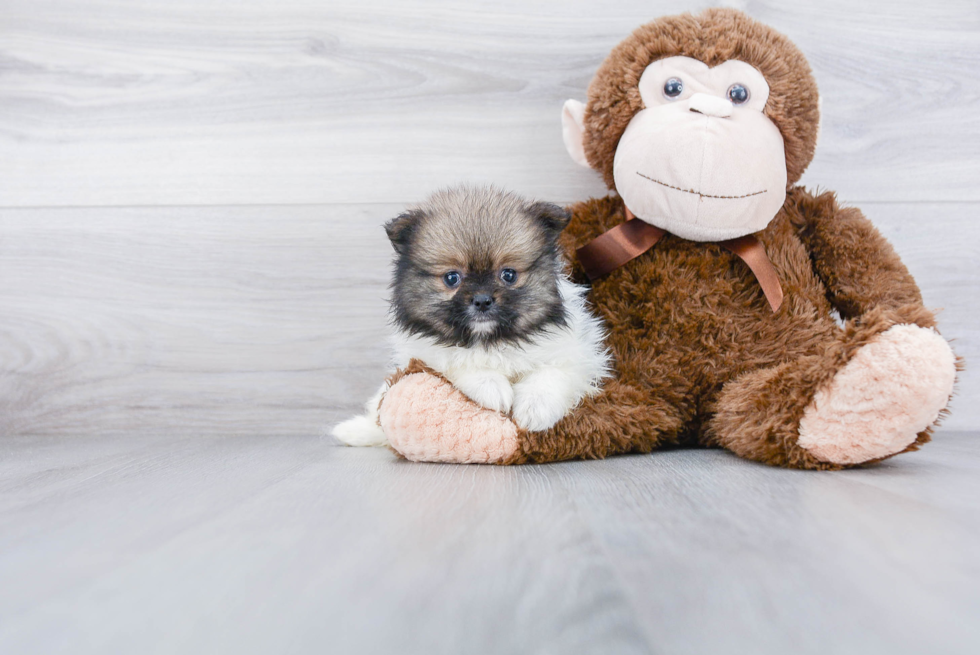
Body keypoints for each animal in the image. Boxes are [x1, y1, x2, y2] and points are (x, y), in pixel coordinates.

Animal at [334, 187, 612, 448]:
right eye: (451, 278)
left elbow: (552, 374)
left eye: (508, 274)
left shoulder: (578, 353)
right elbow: (459, 359)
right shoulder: (424, 351)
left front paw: (534, 409)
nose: (482, 300)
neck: (491, 340)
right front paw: (492, 386)